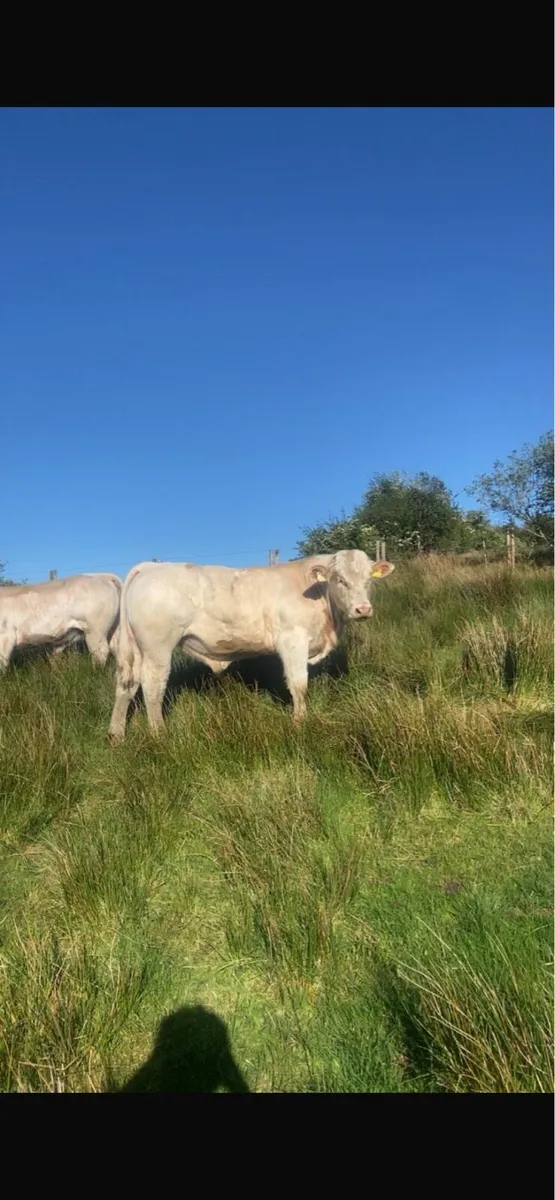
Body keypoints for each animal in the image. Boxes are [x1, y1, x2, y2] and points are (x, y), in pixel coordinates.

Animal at [108, 550, 394, 741]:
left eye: (368, 579)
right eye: (340, 580)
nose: (363, 609)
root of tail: (150, 567)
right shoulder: (293, 640)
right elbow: (299, 685)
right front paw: (299, 723)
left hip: (137, 650)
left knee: (126, 684)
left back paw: (117, 735)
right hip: (158, 648)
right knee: (152, 686)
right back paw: (160, 734)